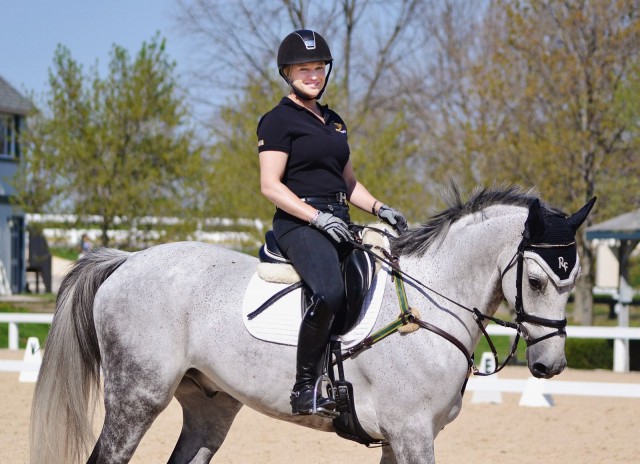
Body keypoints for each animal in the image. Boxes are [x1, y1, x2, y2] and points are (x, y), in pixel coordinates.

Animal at [28, 186, 596, 464]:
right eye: (539, 280)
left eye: (572, 280)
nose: (550, 366)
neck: (428, 305)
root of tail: (127, 259)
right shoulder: (412, 433)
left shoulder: (398, 438)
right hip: (137, 397)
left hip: (211, 405)